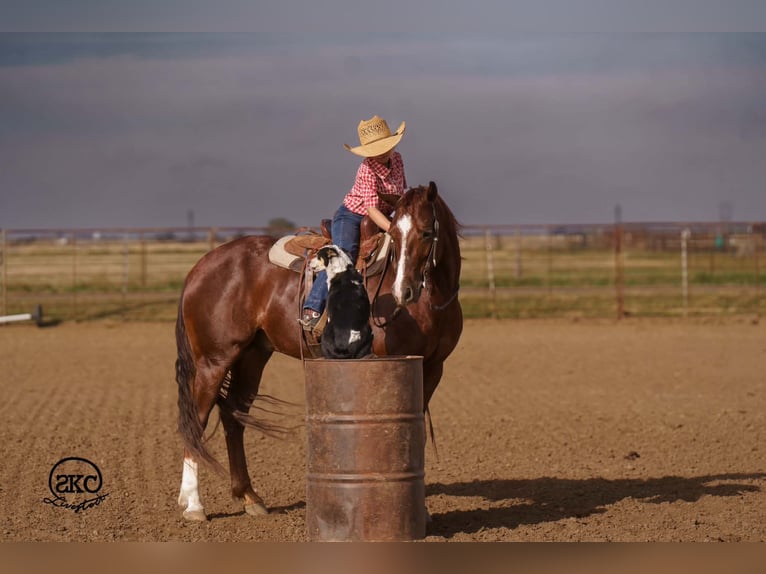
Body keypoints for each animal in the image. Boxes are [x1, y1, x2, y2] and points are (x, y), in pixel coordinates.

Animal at [175, 181, 463, 521]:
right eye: (394, 233)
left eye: (427, 232)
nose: (402, 291)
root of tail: (200, 266)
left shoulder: (432, 368)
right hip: (214, 360)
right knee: (197, 419)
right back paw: (194, 504)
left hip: (252, 355)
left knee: (234, 416)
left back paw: (249, 497)